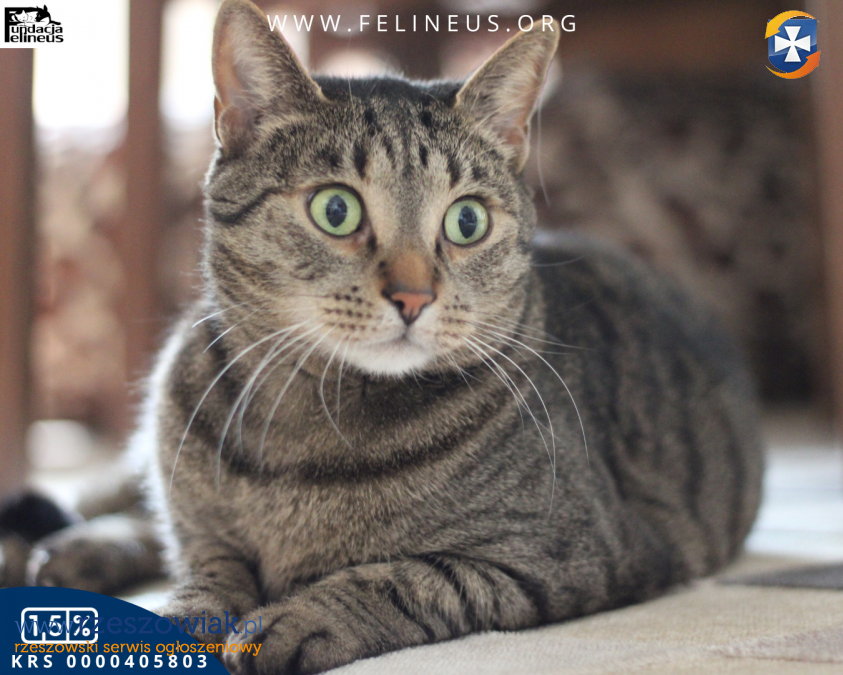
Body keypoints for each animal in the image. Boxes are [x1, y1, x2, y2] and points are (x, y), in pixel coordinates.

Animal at [13, 1, 762, 672]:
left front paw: (297, 618)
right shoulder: (200, 532)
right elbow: (201, 574)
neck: (308, 427)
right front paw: (175, 619)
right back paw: (58, 548)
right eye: (335, 209)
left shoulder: (564, 555)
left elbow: (405, 578)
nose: (413, 296)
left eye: (466, 221)